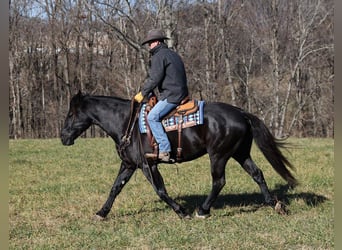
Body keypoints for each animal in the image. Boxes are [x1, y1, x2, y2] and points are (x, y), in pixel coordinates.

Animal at [60, 91, 296, 219]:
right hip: (240, 153)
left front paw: (181, 211)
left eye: (71, 114)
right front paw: (101, 213)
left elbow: (161, 191)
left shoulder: (148, 165)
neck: (127, 122)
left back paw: (203, 210)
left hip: (218, 156)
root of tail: (241, 112)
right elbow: (115, 188)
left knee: (219, 181)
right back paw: (274, 204)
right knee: (257, 174)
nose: (63, 137)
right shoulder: (128, 164)